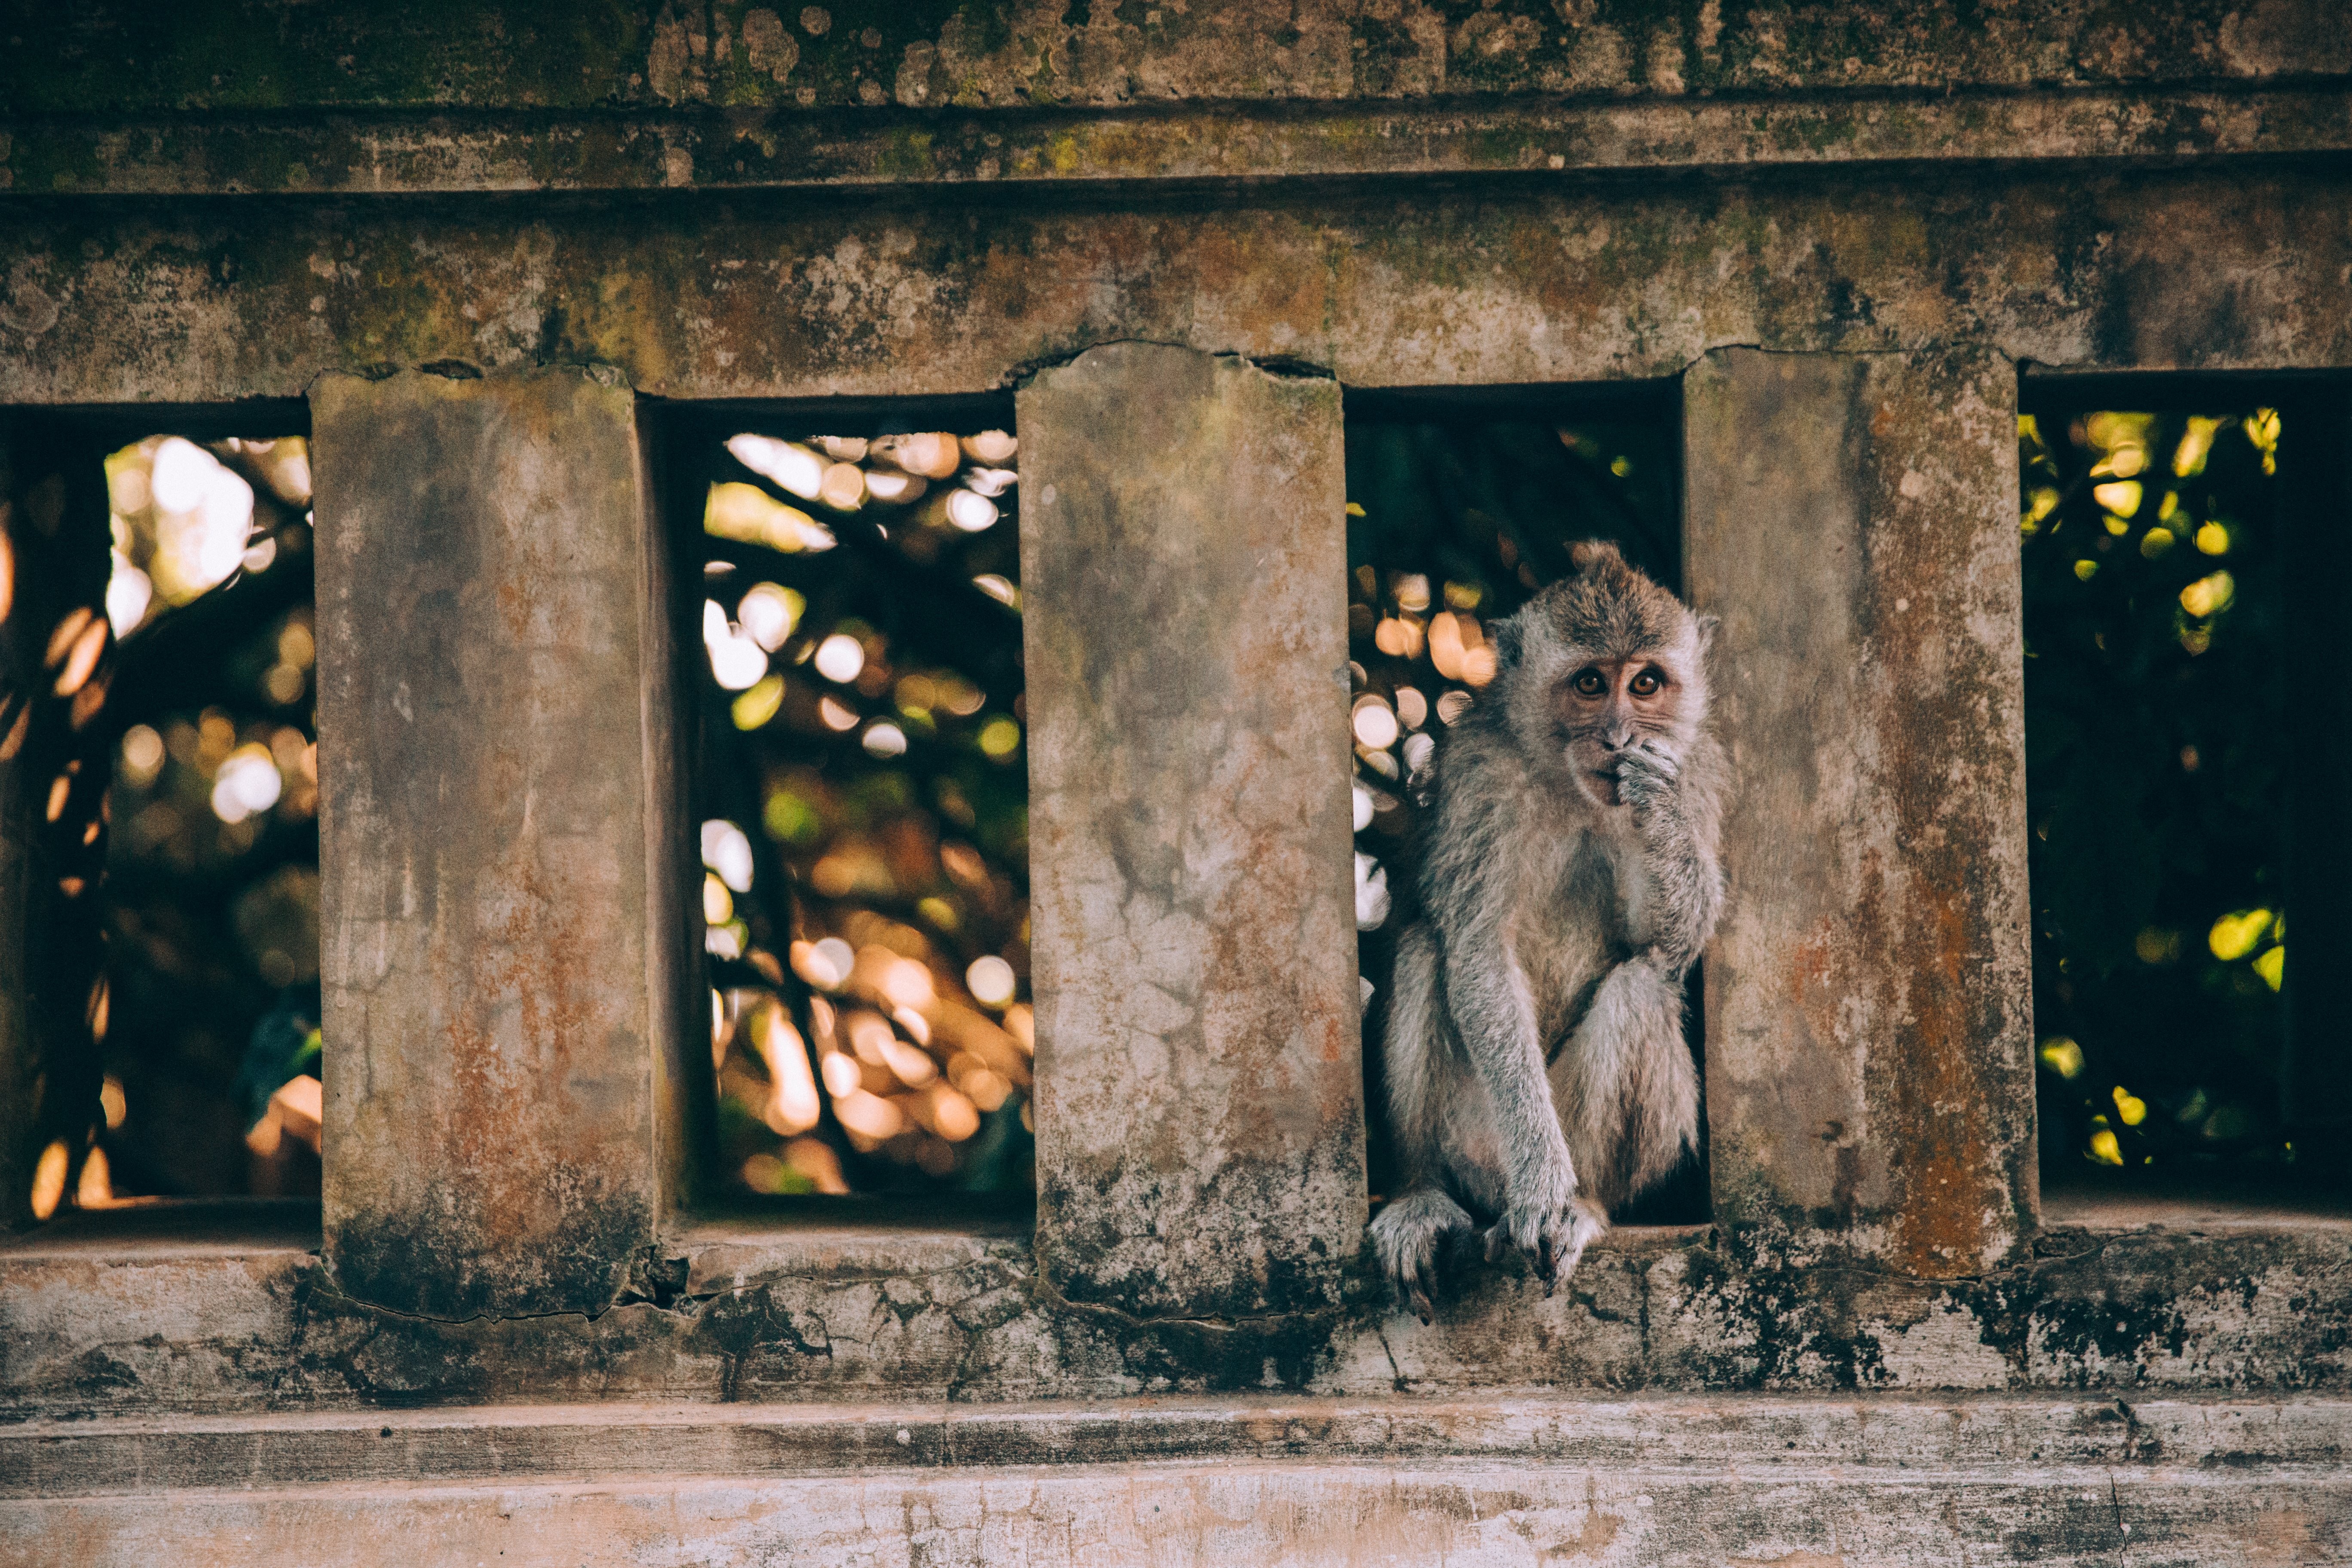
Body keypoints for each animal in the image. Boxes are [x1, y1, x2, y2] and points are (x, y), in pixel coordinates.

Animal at [1368, 539, 1725, 1320]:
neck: (1569, 783)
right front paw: (1541, 1187)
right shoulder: (1478, 776)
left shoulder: (1696, 772)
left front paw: (1653, 806)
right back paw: (1426, 1193)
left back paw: (1585, 1205)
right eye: (1590, 682)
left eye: (1646, 683)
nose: (1620, 738)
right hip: (1476, 1141)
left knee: (1640, 987)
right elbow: (1478, 954)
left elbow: (1664, 943)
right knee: (1425, 950)